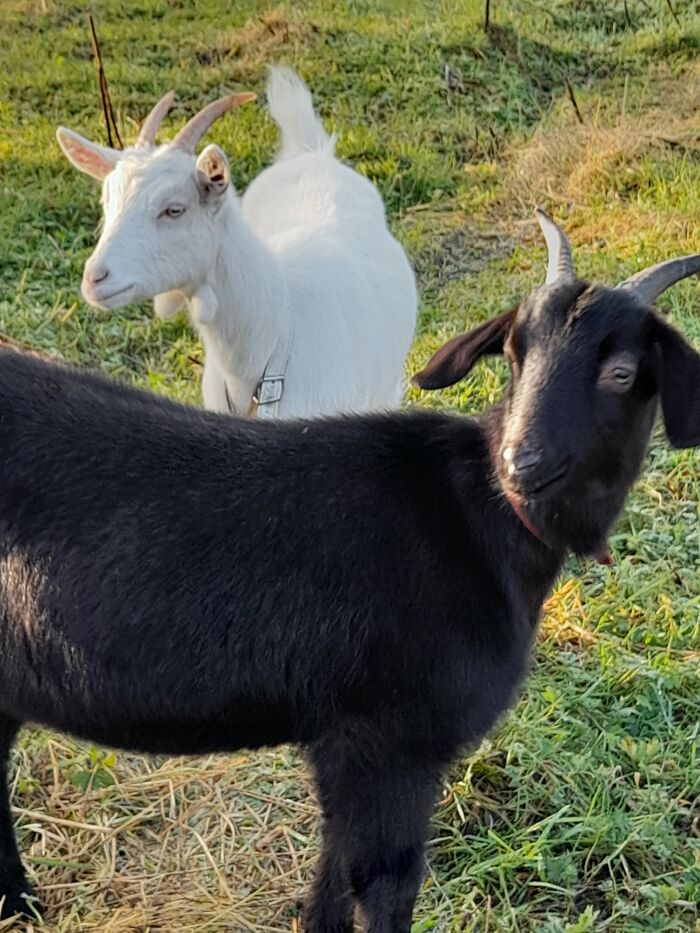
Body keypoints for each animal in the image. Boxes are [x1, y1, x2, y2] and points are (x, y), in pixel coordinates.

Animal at [1, 213, 700, 932]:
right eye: (515, 353)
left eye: (622, 372)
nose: (520, 461)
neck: (480, 516)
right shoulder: (388, 740)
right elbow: (384, 878)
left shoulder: (346, 742)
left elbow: (334, 874)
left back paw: (18, 901)